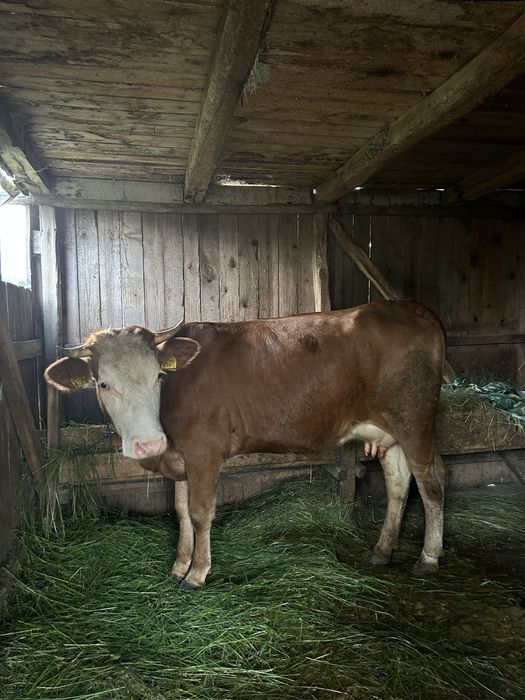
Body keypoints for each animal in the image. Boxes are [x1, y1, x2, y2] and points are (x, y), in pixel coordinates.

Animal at [44, 300, 446, 589]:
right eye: (103, 383)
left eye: (158, 375)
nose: (148, 444)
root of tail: (412, 308)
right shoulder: (180, 459)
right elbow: (180, 513)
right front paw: (178, 565)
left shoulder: (204, 451)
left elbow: (200, 513)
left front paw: (197, 573)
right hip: (387, 431)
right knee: (398, 483)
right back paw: (382, 550)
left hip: (415, 420)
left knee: (432, 482)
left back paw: (428, 558)